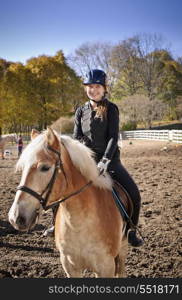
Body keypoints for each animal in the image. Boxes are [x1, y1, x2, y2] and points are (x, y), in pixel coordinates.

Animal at [8, 127, 129, 278]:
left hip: (123, 247)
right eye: (23, 168)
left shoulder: (106, 267)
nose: (15, 218)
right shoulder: (70, 265)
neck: (79, 222)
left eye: (45, 168)